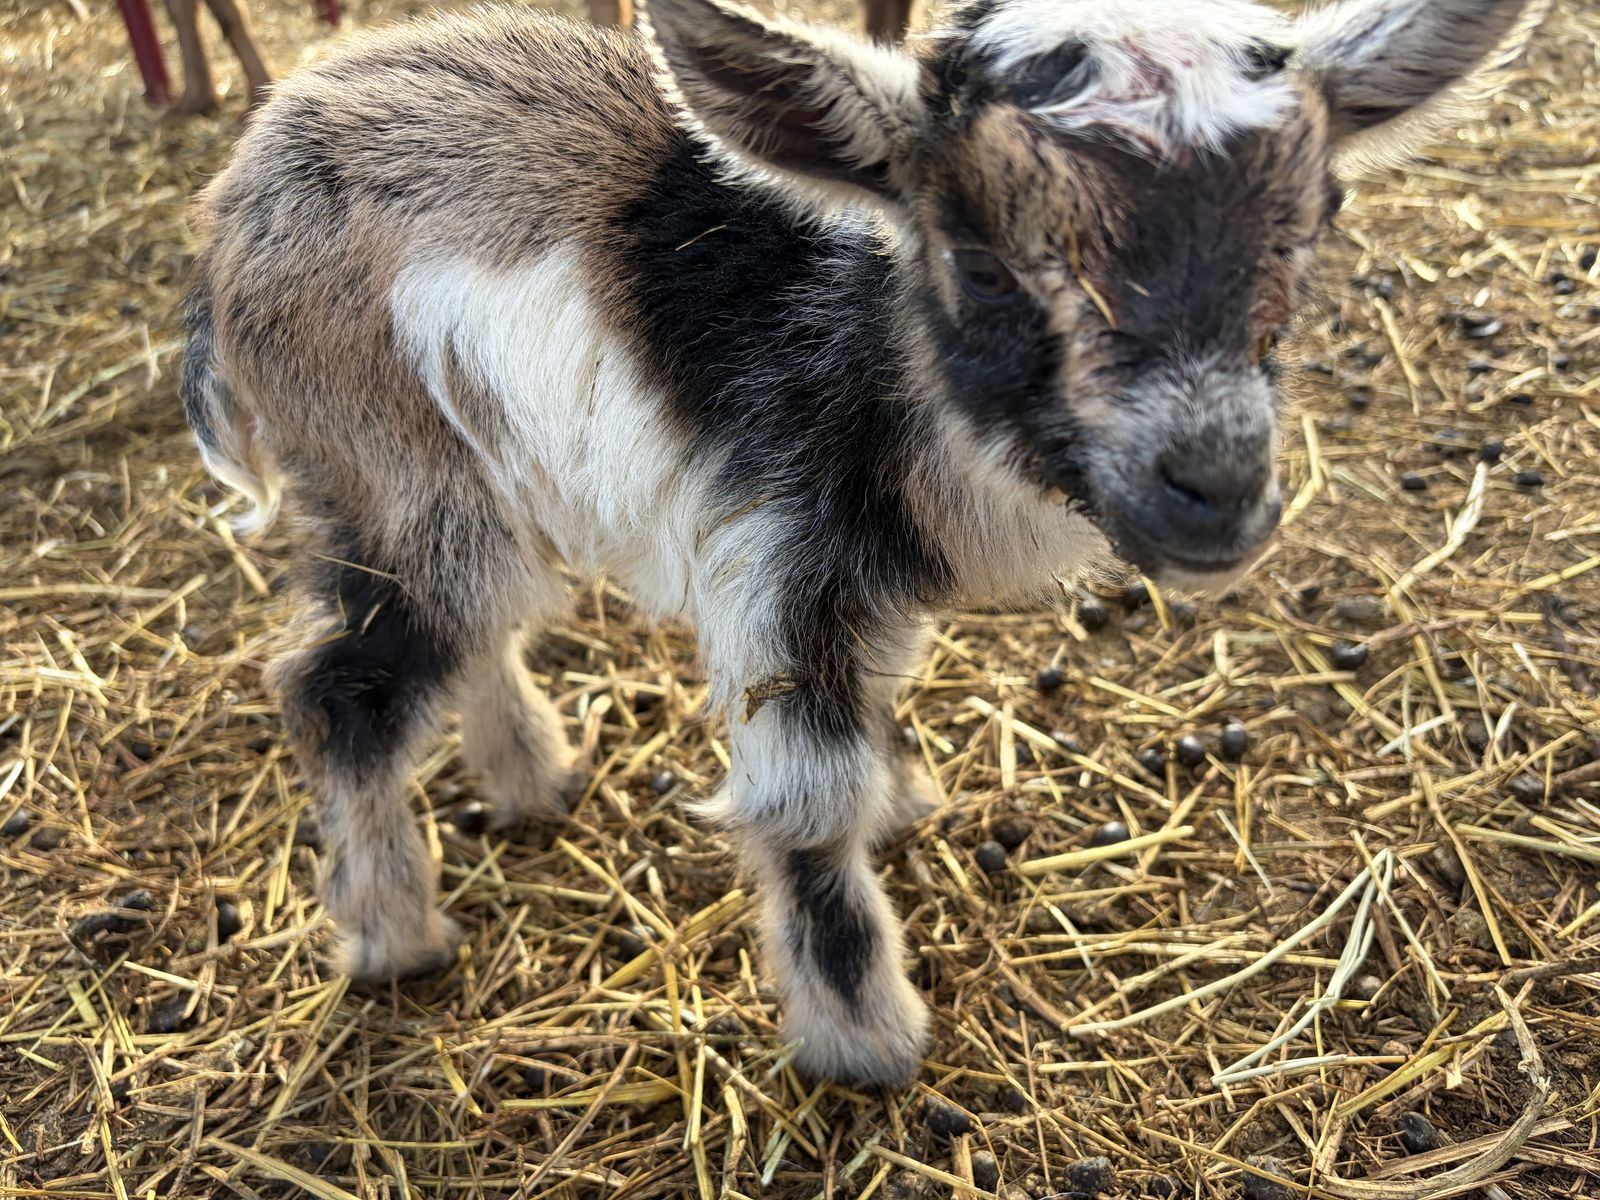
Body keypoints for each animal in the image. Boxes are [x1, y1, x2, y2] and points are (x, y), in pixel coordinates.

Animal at [182, 0, 1536, 1084]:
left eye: (1311, 225)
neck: (884, 362)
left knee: (463, 630)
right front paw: (865, 1044)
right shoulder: (780, 568)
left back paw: (532, 780)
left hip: (453, 474)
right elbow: (806, 797)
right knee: (338, 684)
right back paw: (394, 938)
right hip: (380, 447)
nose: (1213, 488)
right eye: (982, 257)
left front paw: (903, 804)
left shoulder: (859, 590)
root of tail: (239, 187)